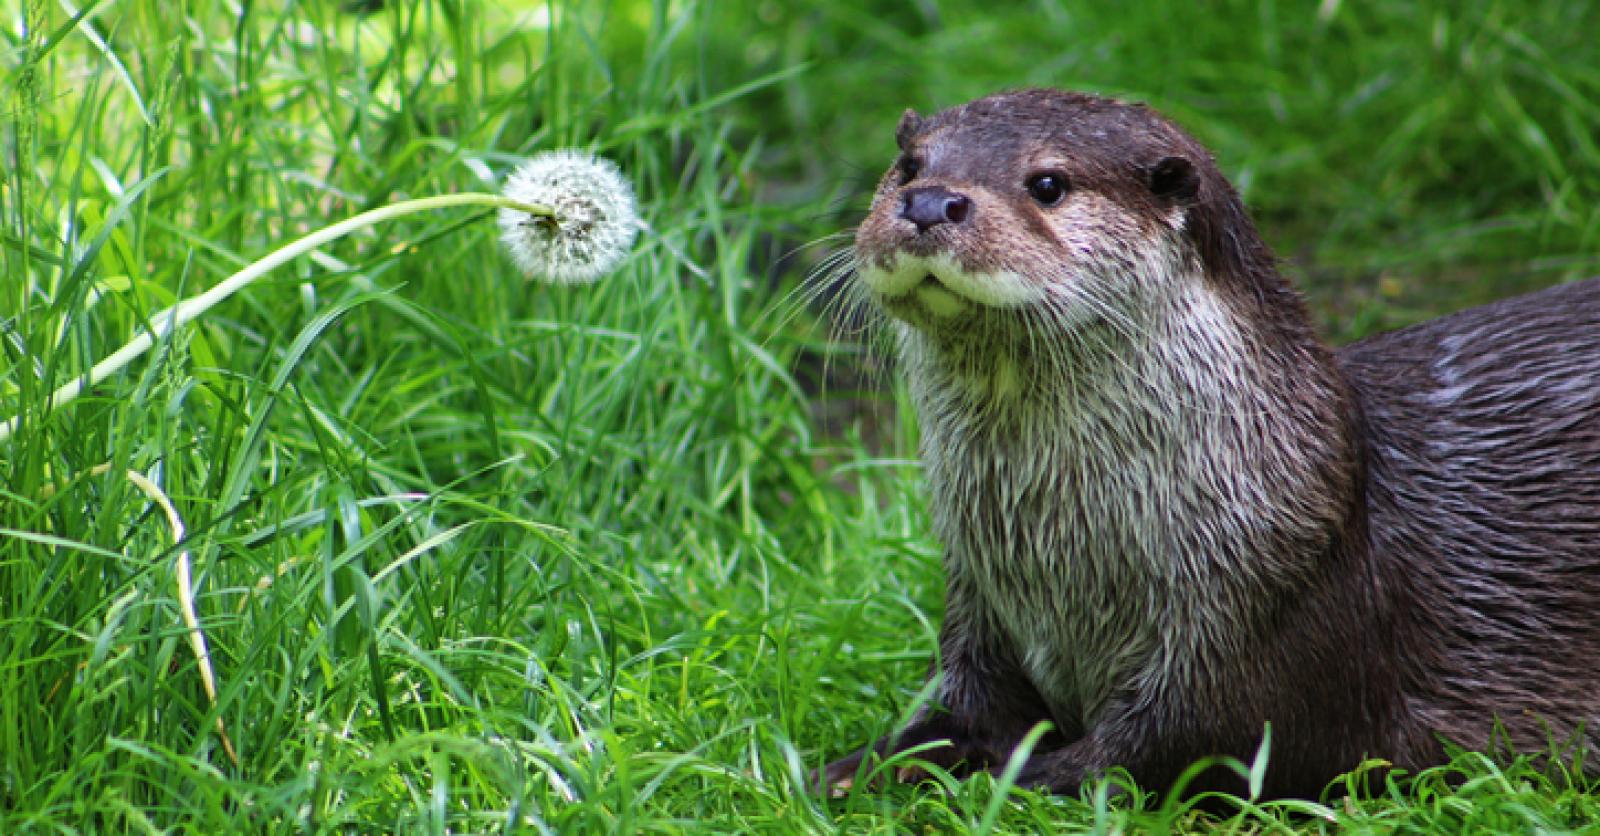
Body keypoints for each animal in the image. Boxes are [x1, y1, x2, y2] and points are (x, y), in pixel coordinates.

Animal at [820, 88, 1600, 800]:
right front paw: (858, 766)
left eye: (1047, 184)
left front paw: (1019, 781)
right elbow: (965, 708)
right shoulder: (977, 597)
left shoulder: (1267, 610)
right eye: (909, 165)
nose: (928, 203)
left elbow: (1182, 744)